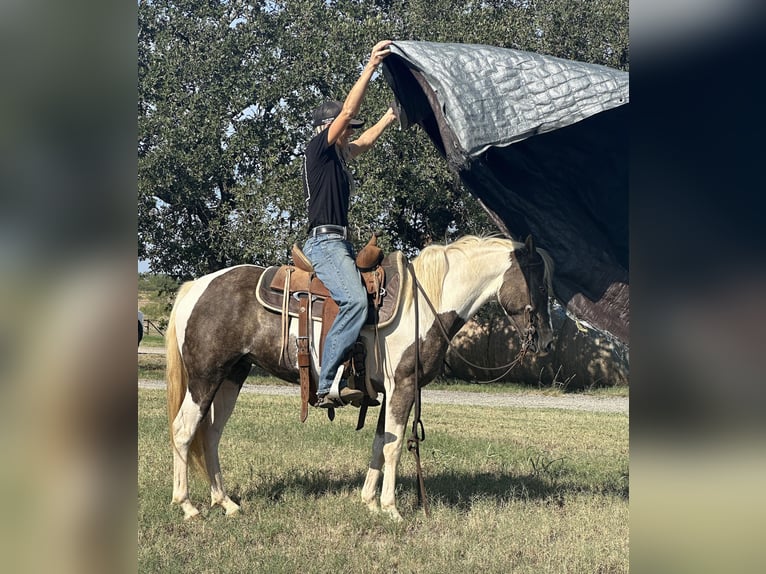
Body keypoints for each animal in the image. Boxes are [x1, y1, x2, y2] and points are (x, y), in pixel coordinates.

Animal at [166, 236, 552, 524]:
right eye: (537, 280)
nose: (547, 341)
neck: (424, 303)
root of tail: (197, 287)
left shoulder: (388, 392)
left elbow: (381, 442)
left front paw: (369, 502)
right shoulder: (403, 386)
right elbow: (395, 446)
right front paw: (392, 509)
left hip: (232, 376)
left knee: (210, 435)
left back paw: (225, 502)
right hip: (205, 376)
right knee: (184, 430)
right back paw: (187, 506)